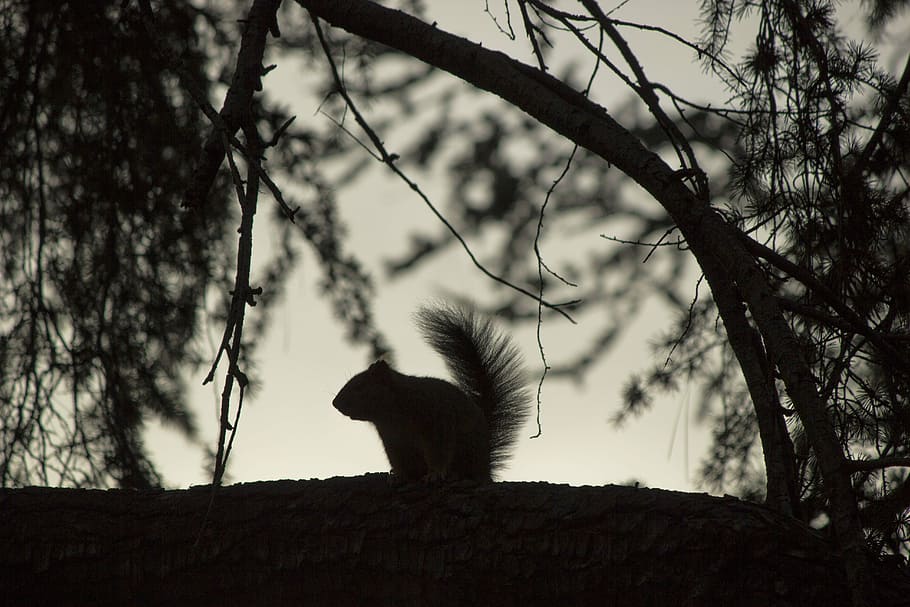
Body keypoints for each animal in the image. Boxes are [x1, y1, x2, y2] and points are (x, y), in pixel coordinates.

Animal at [332, 303, 530, 483]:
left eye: (359, 386)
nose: (335, 403)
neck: (391, 414)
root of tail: (486, 466)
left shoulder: (434, 420)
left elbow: (438, 452)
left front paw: (435, 474)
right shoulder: (393, 441)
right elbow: (399, 461)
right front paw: (399, 476)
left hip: (470, 450)